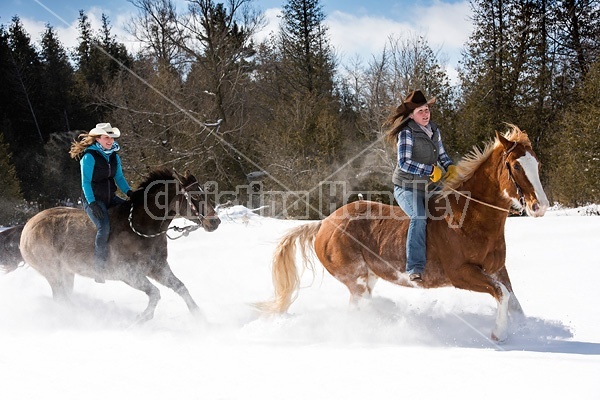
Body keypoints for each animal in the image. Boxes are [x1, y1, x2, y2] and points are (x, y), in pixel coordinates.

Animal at [15, 167, 221, 324]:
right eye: (195, 196)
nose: (215, 221)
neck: (139, 227)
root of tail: (27, 228)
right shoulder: (128, 274)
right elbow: (155, 294)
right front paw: (140, 319)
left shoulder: (157, 267)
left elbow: (180, 287)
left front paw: (201, 318)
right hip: (53, 272)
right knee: (62, 299)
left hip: (67, 273)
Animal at [258, 124, 548, 340]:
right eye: (516, 166)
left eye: (537, 164)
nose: (540, 206)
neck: (468, 219)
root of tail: (324, 224)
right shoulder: (462, 274)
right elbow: (502, 294)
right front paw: (499, 333)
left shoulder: (497, 269)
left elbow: (513, 301)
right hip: (355, 277)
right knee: (361, 303)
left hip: (368, 276)